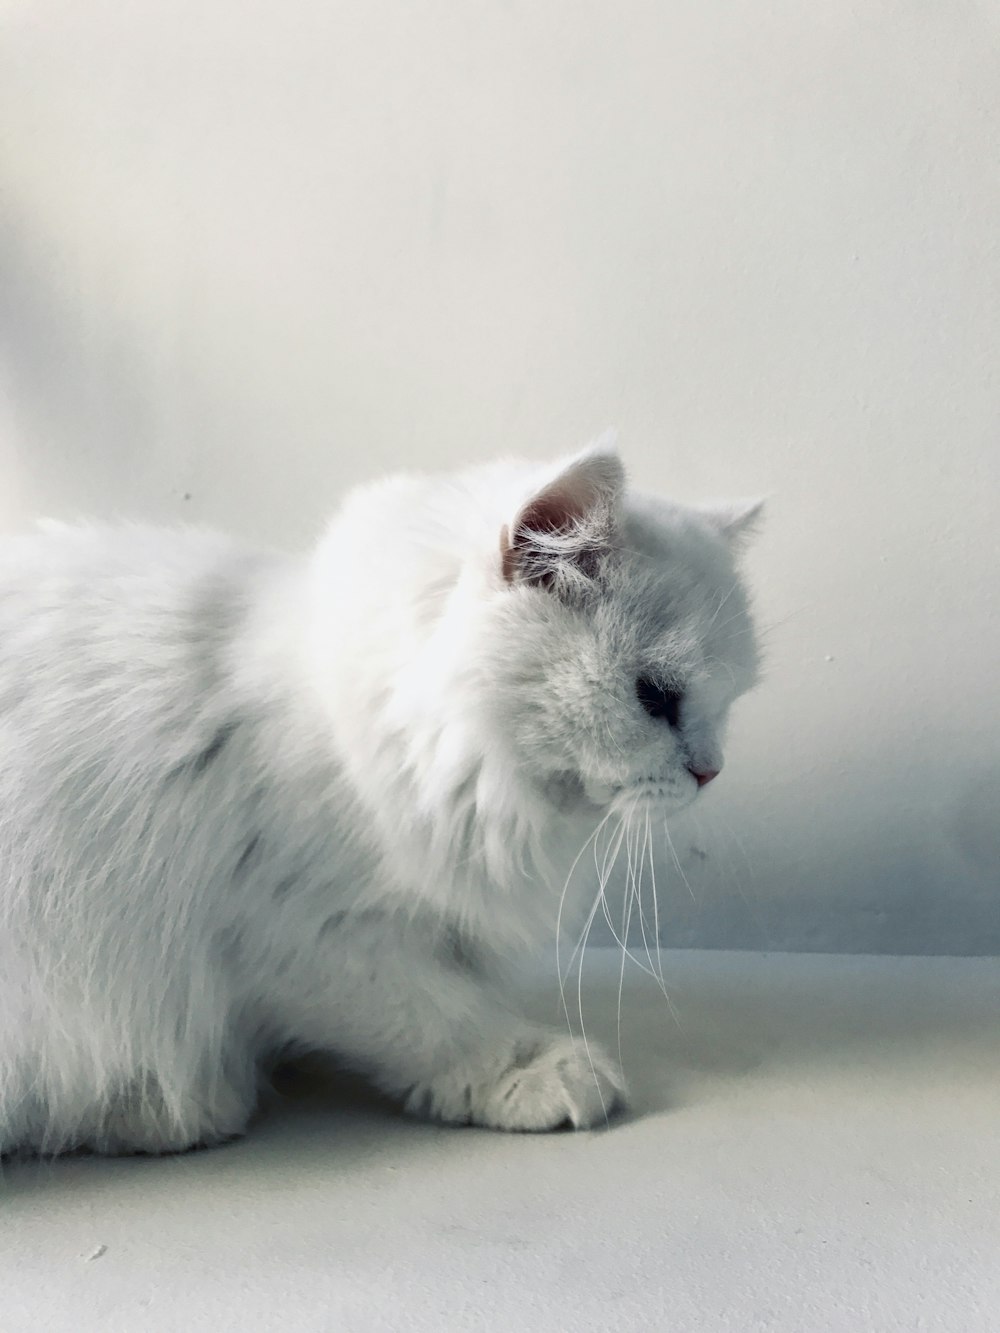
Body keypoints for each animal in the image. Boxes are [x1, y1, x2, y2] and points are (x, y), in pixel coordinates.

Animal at [0, 439, 757, 1157]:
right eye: (655, 697)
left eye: (726, 704)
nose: (712, 772)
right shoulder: (305, 934)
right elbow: (441, 1020)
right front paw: (535, 1070)